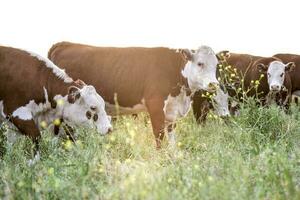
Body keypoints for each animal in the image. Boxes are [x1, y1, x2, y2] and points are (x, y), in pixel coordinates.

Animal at [48, 41, 219, 148]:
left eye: (216, 65)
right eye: (200, 63)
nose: (214, 84)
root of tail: (64, 44)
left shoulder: (172, 111)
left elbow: (171, 136)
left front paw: (174, 154)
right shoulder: (155, 106)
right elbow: (159, 135)